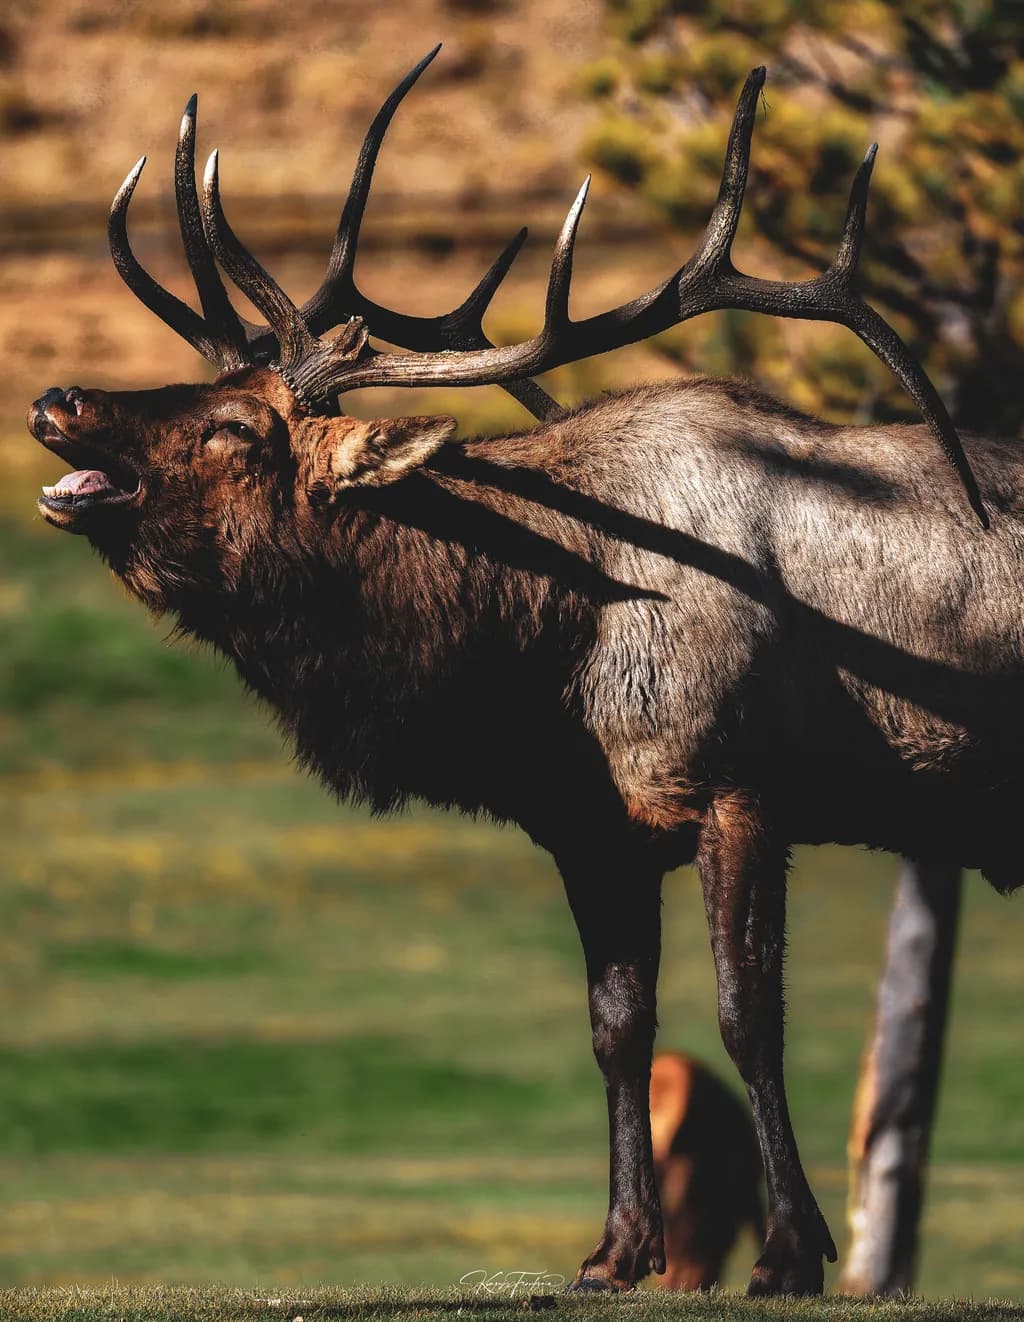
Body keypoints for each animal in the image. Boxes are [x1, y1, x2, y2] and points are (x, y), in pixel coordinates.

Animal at [26, 46, 1018, 1295]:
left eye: (237, 428)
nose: (56, 396)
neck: (546, 651)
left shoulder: (738, 782)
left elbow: (746, 1012)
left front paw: (790, 1251)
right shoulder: (589, 822)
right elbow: (617, 1024)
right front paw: (614, 1249)